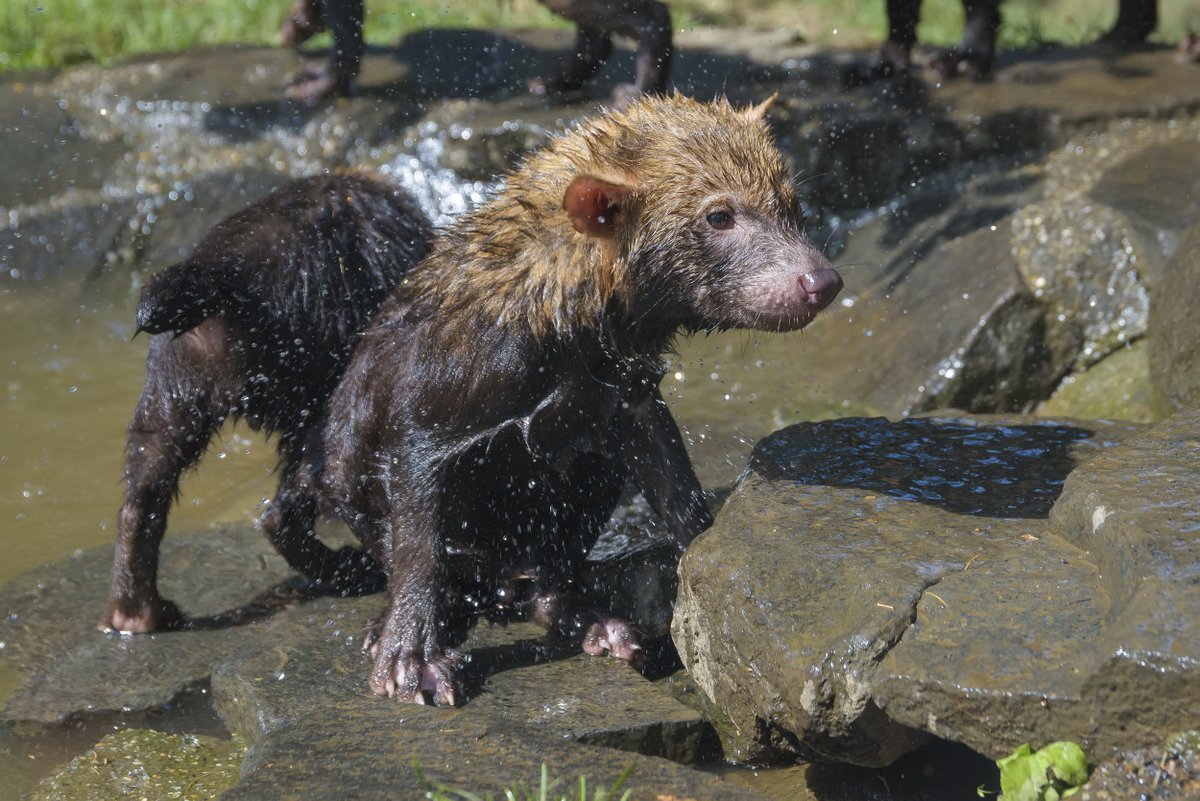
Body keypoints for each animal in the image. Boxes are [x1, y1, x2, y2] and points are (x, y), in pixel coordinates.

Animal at [99, 173, 432, 633]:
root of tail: (223, 271)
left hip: (173, 389)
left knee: (142, 495)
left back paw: (137, 613)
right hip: (321, 380)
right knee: (295, 498)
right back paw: (354, 570)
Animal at [277, 0, 672, 106]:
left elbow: (347, 32)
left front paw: (318, 86)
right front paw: (297, 24)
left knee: (652, 18)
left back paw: (637, 92)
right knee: (597, 42)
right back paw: (549, 83)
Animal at [319, 95, 844, 705]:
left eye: (791, 202)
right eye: (719, 216)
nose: (821, 281)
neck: (559, 322)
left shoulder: (627, 396)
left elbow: (675, 486)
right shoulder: (431, 403)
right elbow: (418, 534)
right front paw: (409, 658)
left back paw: (593, 622)